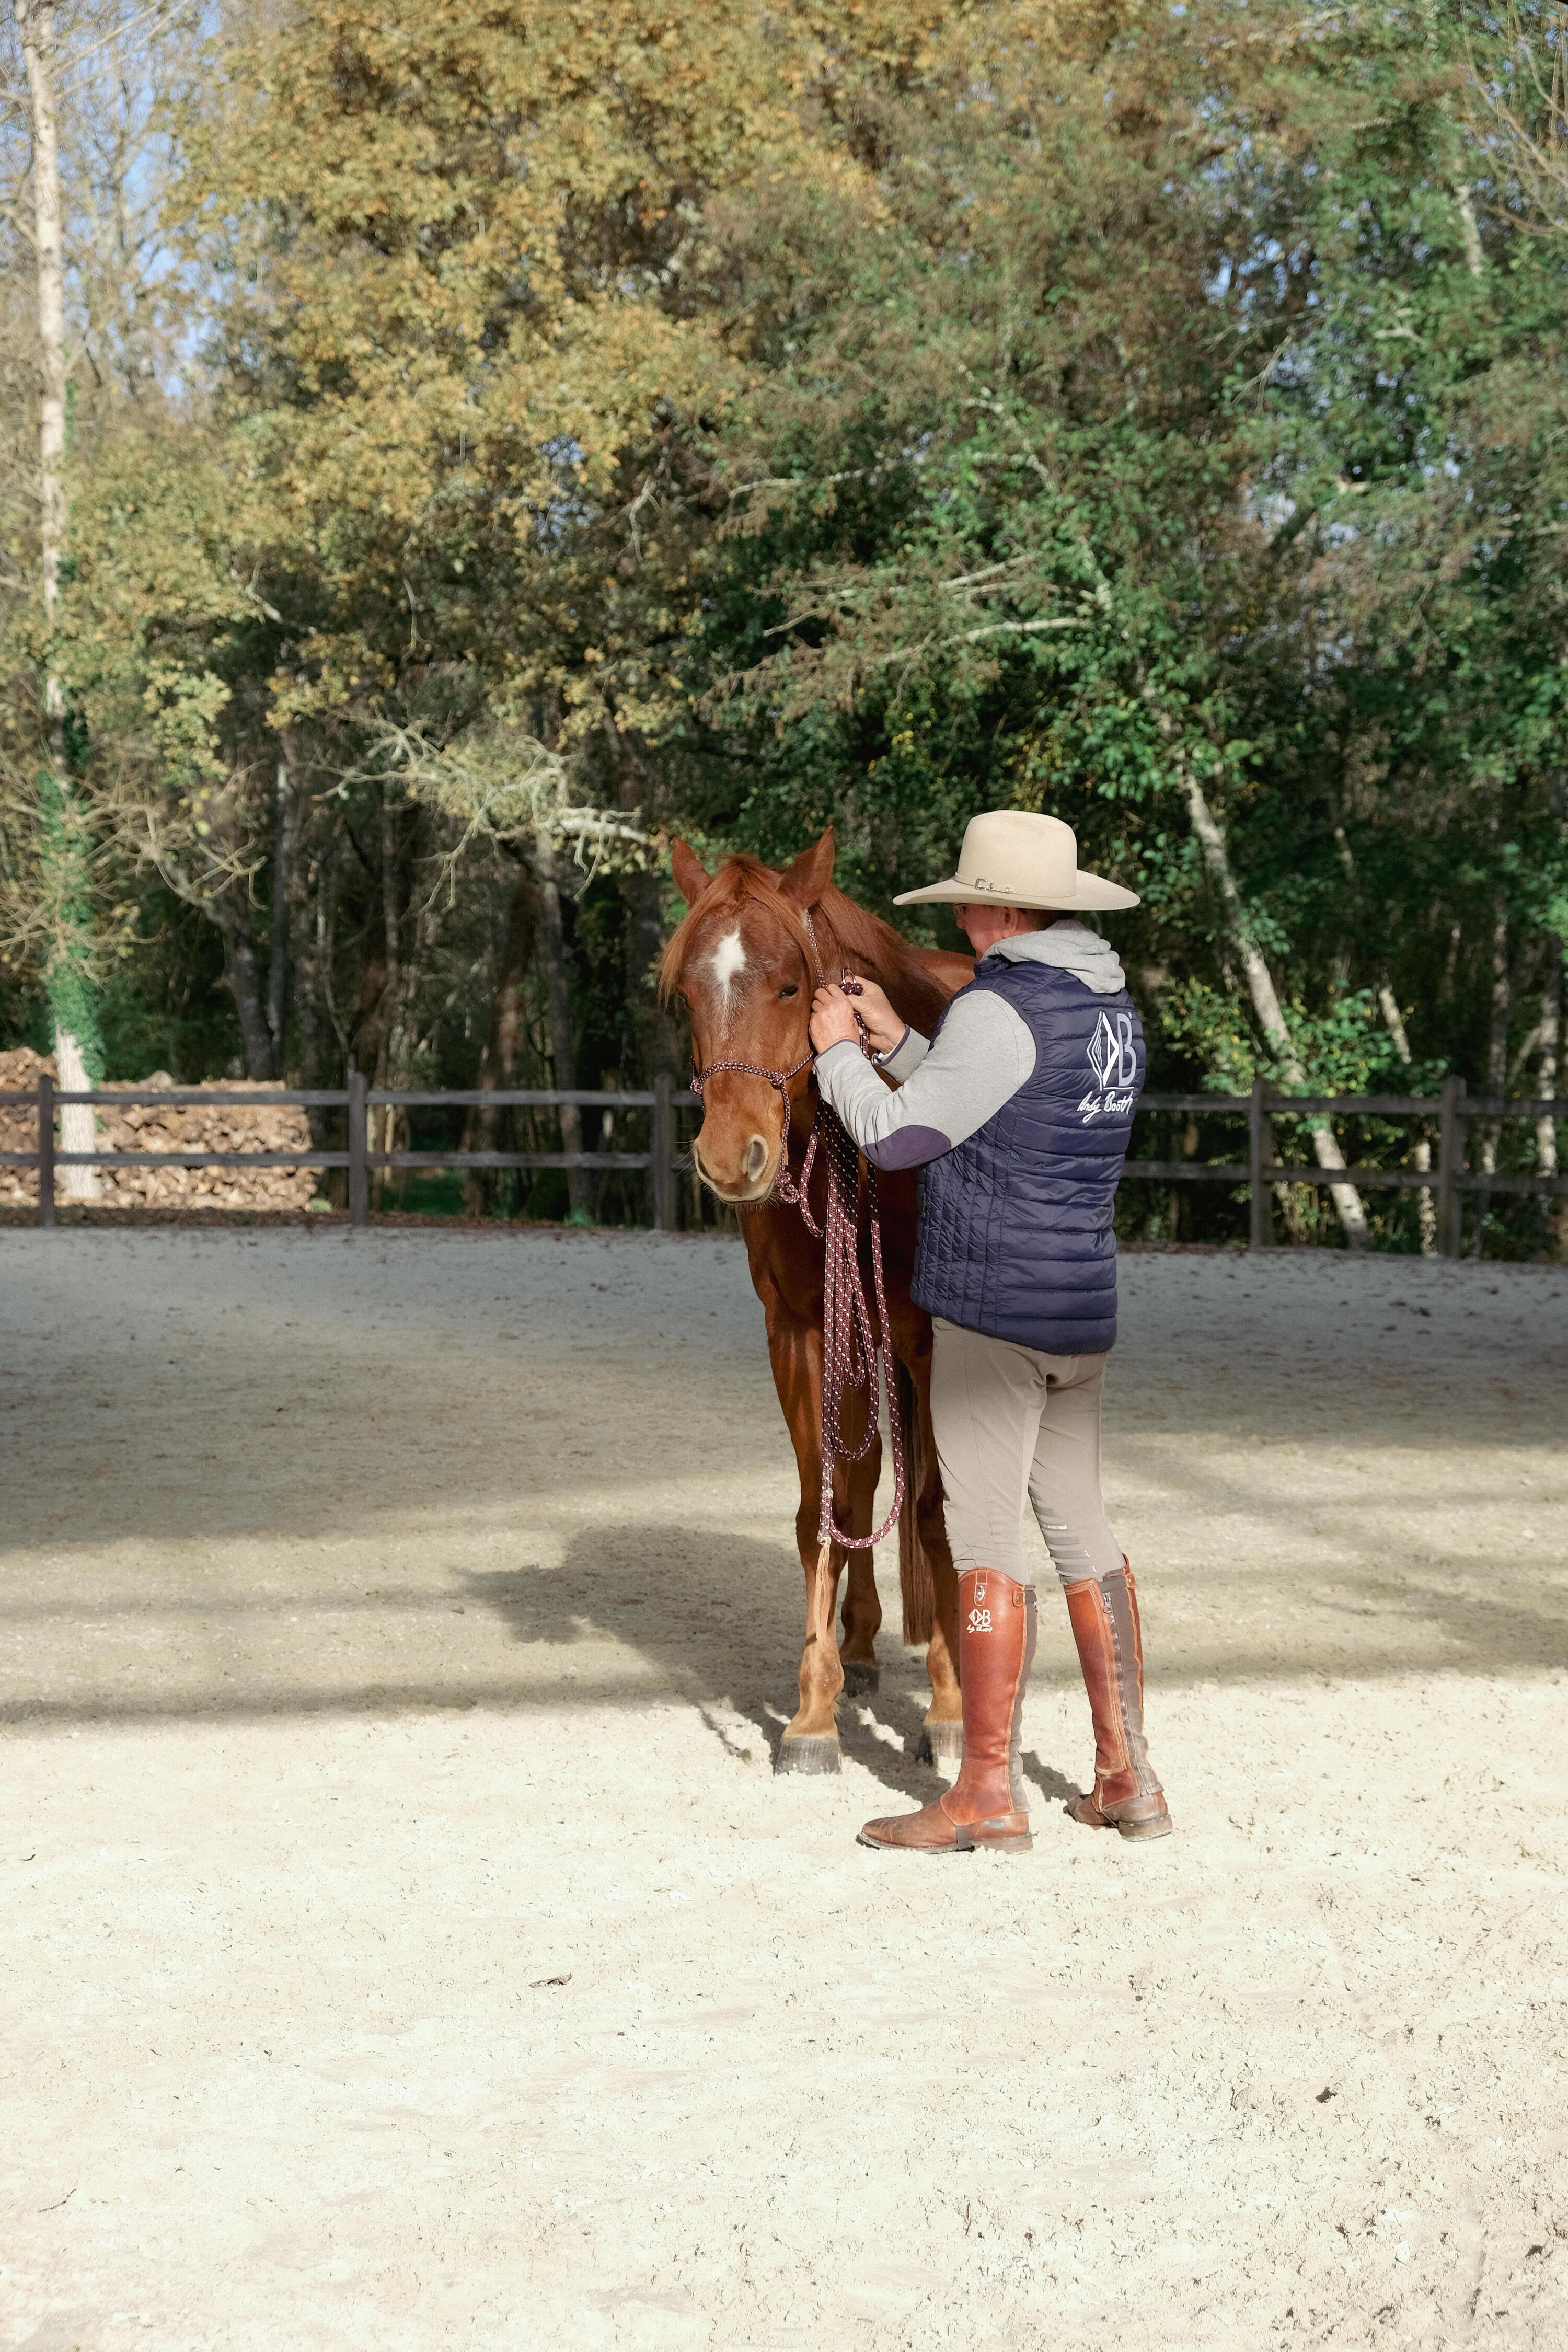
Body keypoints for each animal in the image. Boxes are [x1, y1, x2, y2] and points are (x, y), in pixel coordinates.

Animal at [660, 825, 974, 1774]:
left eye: (791, 985)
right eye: (686, 994)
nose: (732, 1156)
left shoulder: (933, 1342)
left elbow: (934, 1513)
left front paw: (951, 1710)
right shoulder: (797, 1331)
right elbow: (820, 1513)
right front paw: (811, 1713)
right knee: (862, 1481)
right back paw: (862, 1649)